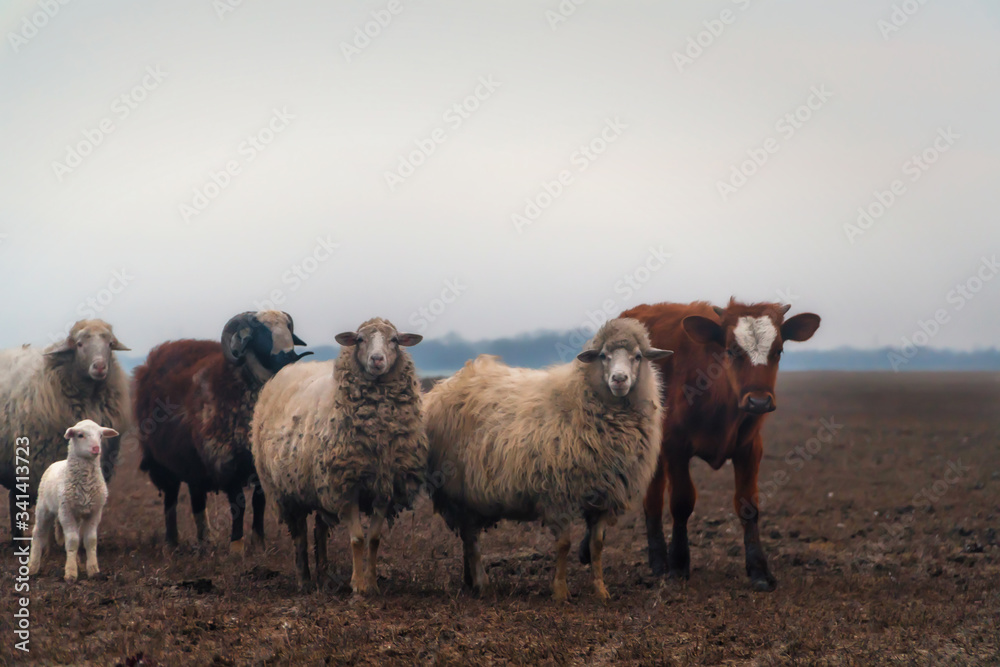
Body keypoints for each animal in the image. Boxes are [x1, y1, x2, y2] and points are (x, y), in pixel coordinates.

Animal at [27, 419, 119, 582]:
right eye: (80, 435)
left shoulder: (94, 512)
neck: (86, 483)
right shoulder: (66, 512)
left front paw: (93, 570)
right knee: (38, 533)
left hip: (76, 515)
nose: (96, 449)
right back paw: (33, 567)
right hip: (44, 508)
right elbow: (73, 541)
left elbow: (90, 540)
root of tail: (56, 462)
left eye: (101, 435)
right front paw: (70, 573)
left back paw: (77, 562)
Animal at [133, 310, 311, 553]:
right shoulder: (226, 458)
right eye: (261, 332)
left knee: (197, 498)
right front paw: (236, 546)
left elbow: (259, 502)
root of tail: (154, 357)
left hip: (193, 460)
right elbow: (239, 503)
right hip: (162, 461)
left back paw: (205, 539)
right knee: (170, 498)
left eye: (288, 328)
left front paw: (259, 543)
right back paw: (172, 542)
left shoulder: (257, 463)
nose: (289, 356)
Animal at [252, 317, 426, 593]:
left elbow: (374, 539)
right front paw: (358, 586)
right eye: (360, 339)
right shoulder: (346, 486)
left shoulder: (384, 488)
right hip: (285, 491)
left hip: (320, 487)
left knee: (319, 530)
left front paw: (372, 584)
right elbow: (357, 538)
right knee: (299, 534)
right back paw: (304, 580)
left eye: (395, 340)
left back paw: (324, 577)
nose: (377, 359)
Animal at [423, 317, 671, 601]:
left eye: (638, 356)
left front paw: (600, 590)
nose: (619, 379)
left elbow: (597, 546)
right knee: (471, 538)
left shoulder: (605, 496)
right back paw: (482, 584)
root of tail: (445, 385)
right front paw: (560, 591)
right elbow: (563, 544)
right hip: (460, 491)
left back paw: (471, 582)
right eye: (603, 356)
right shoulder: (558, 494)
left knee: (468, 537)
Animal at [579, 299, 820, 591]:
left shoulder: (750, 449)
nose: (759, 401)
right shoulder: (675, 447)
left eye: (779, 350)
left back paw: (656, 560)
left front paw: (759, 569)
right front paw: (679, 564)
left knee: (652, 497)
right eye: (732, 350)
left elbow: (748, 505)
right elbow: (681, 502)